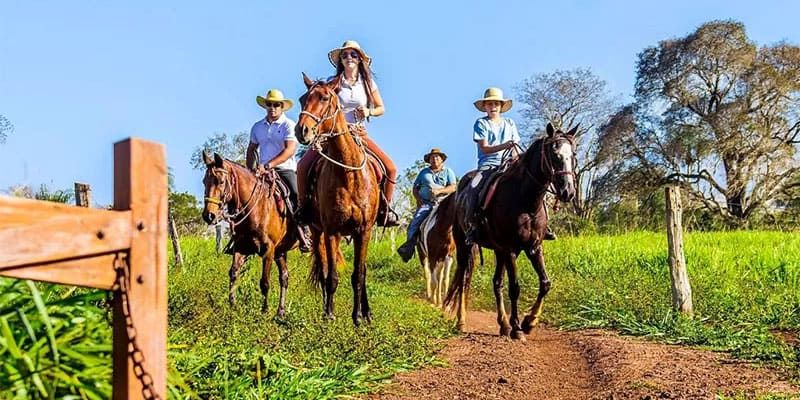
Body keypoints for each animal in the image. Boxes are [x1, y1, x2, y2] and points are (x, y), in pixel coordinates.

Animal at [202, 152, 298, 318]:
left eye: (221, 181)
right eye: (204, 182)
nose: (209, 216)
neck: (256, 207)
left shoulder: (268, 250)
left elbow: (264, 282)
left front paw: (264, 311)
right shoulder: (241, 247)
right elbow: (233, 273)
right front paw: (233, 305)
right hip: (280, 251)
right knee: (284, 277)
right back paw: (280, 313)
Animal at [294, 74, 382, 324]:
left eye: (325, 98)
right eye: (302, 98)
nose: (302, 130)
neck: (348, 174)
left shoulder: (364, 230)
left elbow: (359, 274)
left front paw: (358, 316)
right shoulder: (332, 231)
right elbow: (331, 275)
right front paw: (329, 314)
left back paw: (367, 312)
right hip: (317, 231)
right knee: (323, 270)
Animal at [444, 123, 580, 340]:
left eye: (573, 154)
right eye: (554, 154)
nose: (568, 192)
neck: (525, 200)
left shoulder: (534, 248)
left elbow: (545, 283)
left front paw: (529, 322)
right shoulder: (510, 249)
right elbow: (514, 287)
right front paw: (518, 328)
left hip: (498, 251)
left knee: (496, 283)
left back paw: (503, 324)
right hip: (466, 246)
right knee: (464, 279)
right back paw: (462, 322)